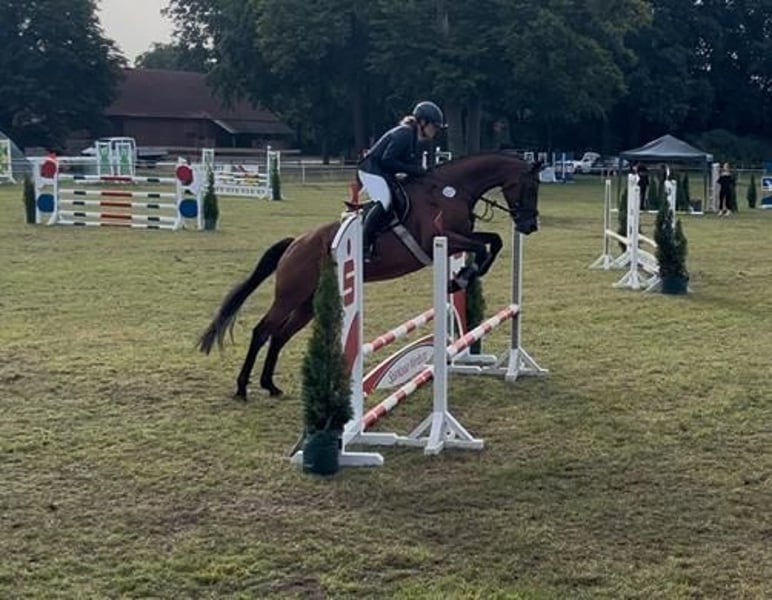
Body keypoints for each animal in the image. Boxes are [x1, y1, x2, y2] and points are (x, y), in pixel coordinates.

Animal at [198, 151, 541, 399]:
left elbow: (493, 241)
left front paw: (465, 275)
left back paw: (270, 385)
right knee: (262, 331)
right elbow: (484, 245)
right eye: (529, 187)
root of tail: (295, 243)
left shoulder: (460, 236)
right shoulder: (439, 239)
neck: (451, 191)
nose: (529, 226)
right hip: (290, 295)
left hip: (308, 304)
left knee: (280, 335)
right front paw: (462, 277)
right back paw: (242, 388)